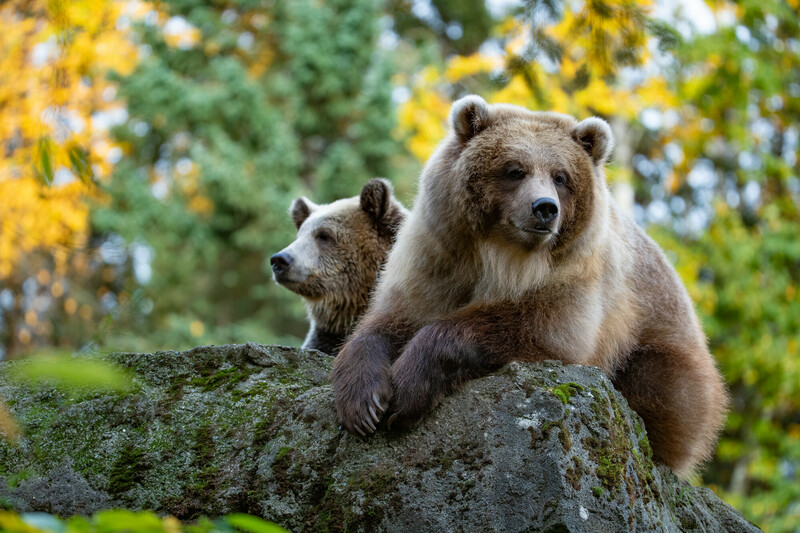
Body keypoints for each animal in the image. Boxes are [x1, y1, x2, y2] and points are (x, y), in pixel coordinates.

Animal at [332, 93, 732, 476]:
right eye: (515, 170)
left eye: (561, 176)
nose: (545, 208)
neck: (504, 257)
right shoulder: (439, 256)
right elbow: (393, 317)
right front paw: (363, 402)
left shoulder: (577, 276)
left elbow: (541, 326)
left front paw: (407, 390)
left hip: (668, 352)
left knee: (659, 386)